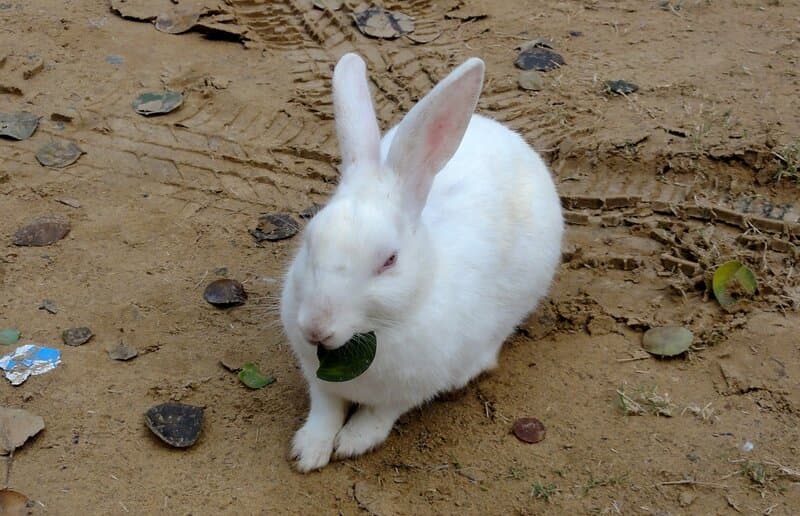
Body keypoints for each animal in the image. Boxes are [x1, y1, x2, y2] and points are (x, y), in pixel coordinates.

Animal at [280, 53, 564, 472]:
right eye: (310, 240)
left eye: (389, 260)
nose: (315, 327)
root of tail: (498, 129)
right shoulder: (321, 382)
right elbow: (325, 410)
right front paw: (309, 452)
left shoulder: (410, 390)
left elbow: (379, 414)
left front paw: (352, 442)